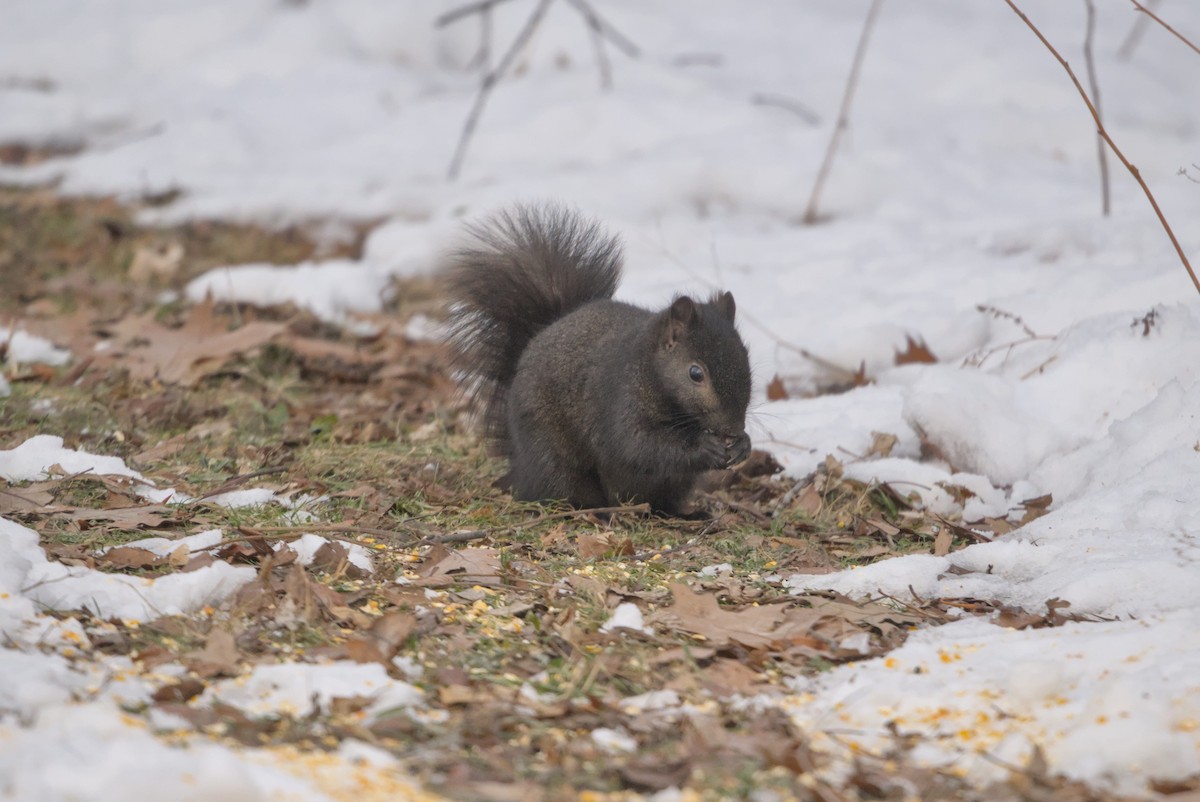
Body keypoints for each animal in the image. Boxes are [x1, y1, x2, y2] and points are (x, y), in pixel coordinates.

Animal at [445, 204, 752, 515]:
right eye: (695, 373)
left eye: (746, 358)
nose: (734, 428)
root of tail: (519, 465)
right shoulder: (621, 401)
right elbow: (639, 445)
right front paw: (705, 446)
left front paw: (743, 445)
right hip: (554, 458)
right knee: (562, 492)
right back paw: (596, 512)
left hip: (675, 484)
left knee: (664, 503)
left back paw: (689, 515)